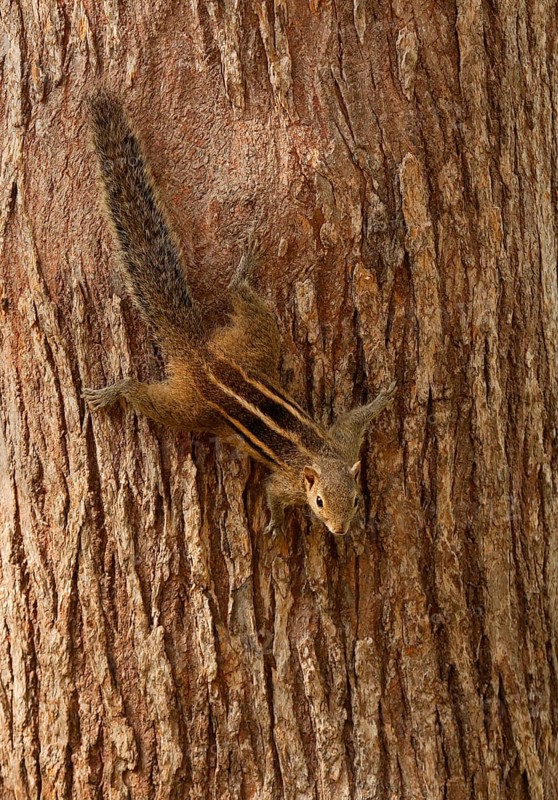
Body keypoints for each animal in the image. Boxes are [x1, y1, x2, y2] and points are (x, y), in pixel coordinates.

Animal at [83, 92, 396, 536]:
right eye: (319, 502)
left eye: (354, 498)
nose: (340, 530)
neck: (320, 457)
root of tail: (203, 356)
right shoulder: (287, 480)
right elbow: (272, 493)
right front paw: (276, 522)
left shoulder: (343, 440)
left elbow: (356, 418)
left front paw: (383, 397)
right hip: (187, 407)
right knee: (143, 396)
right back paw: (114, 391)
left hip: (253, 337)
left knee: (241, 299)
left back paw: (242, 272)